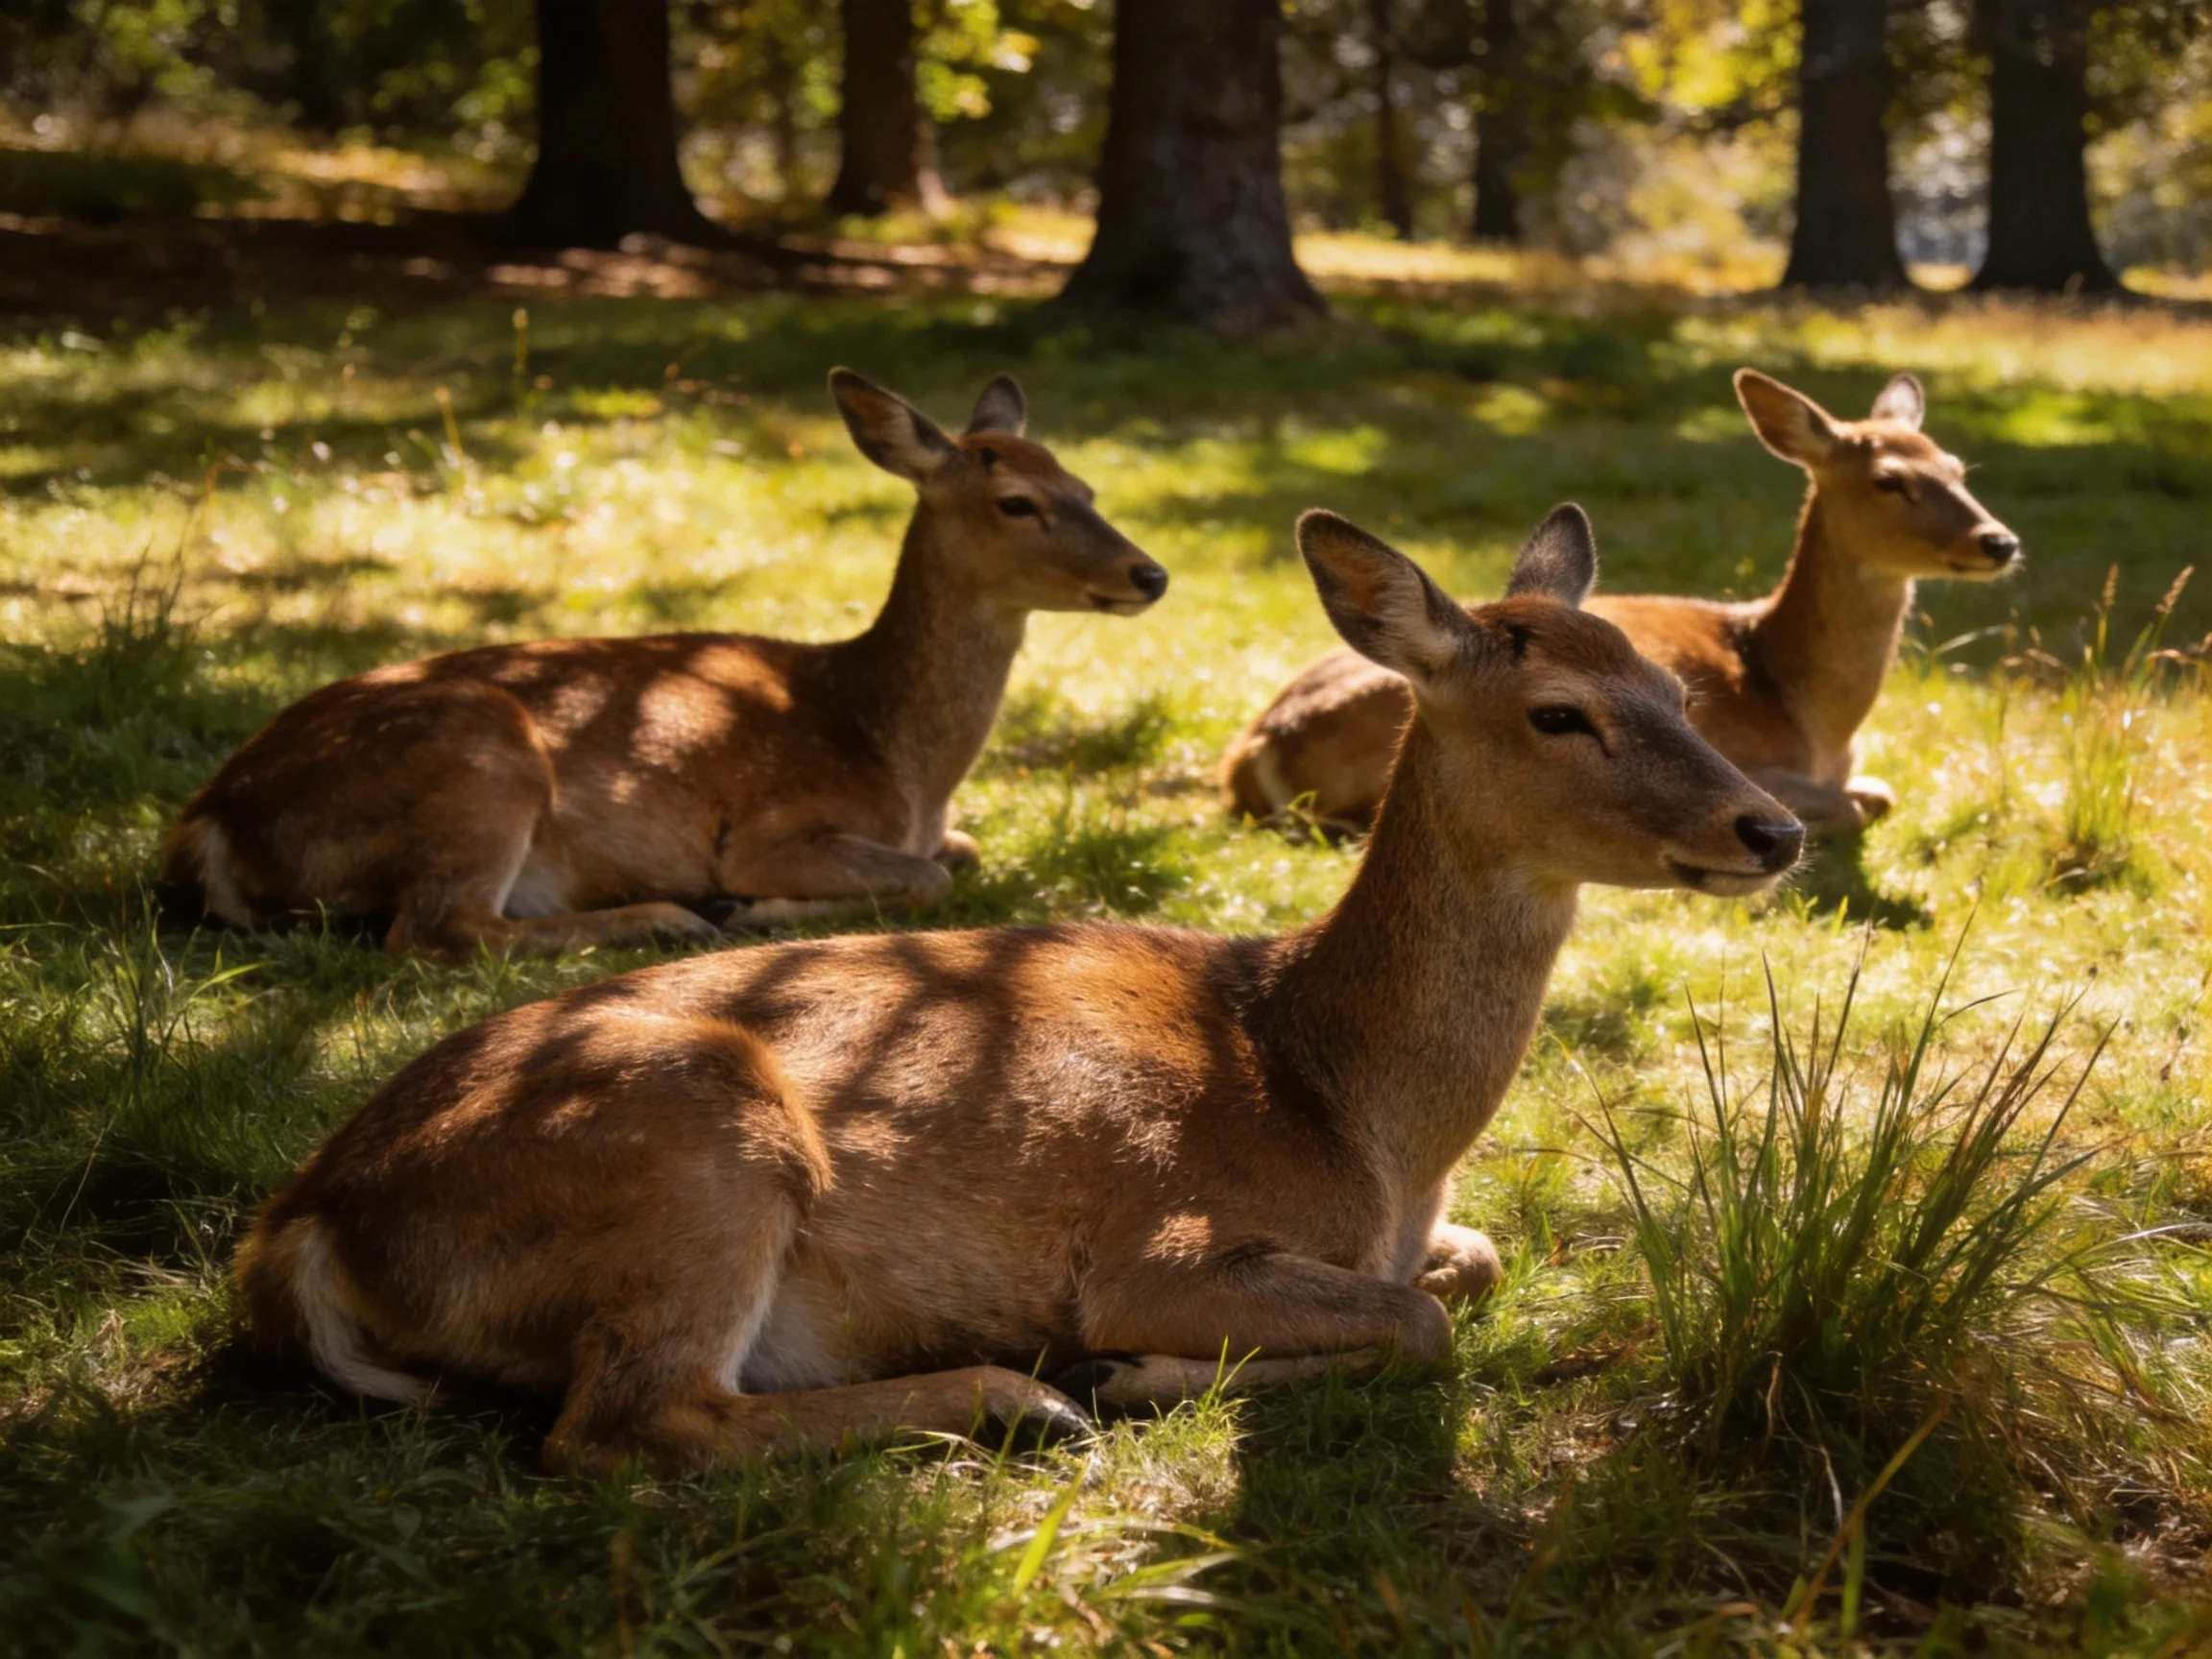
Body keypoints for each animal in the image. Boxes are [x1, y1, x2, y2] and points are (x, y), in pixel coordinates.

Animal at [159, 370, 1169, 960]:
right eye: (1017, 502)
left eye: (1087, 487)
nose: (1149, 573)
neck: (896, 750)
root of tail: (208, 821)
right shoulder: (772, 826)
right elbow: (932, 879)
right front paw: (749, 907)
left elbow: (961, 851)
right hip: (479, 760)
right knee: (438, 930)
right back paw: (674, 915)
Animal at [232, 502, 1804, 1476]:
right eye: (1561, 714)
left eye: (1681, 692)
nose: (1774, 829)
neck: (1346, 1102)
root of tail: (300, 1227)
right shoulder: (1164, 1236)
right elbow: (1418, 1324)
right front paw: (1136, 1373)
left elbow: (1466, 1270)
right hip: (695, 1138)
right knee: (629, 1424)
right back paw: (1023, 1395)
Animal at [1220, 369, 2021, 836]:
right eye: (1889, 479)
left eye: (1958, 467)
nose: (2000, 540)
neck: (1808, 707)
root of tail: (1254, 747)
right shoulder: (1749, 764)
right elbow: (1860, 805)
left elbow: (1878, 791)